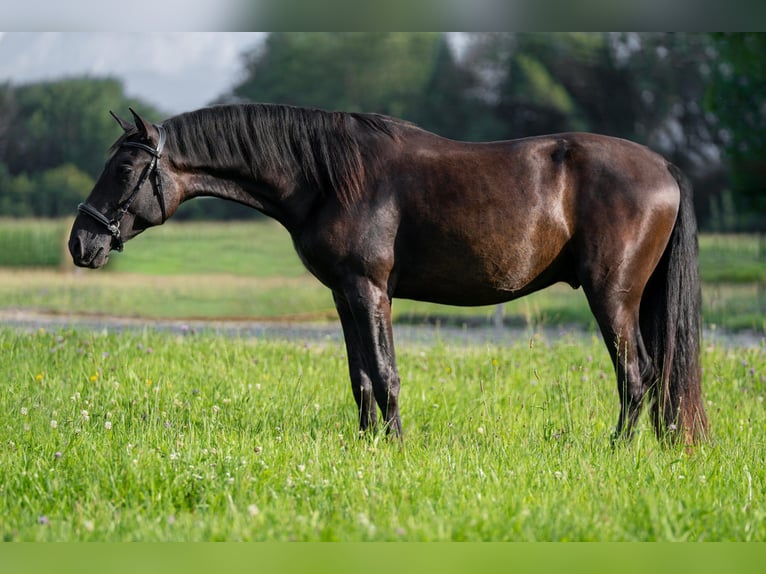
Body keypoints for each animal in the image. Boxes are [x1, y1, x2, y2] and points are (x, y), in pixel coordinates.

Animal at [68, 104, 708, 445]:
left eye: (123, 168)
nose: (81, 242)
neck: (328, 178)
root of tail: (665, 167)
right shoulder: (345, 296)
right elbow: (360, 377)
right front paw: (368, 443)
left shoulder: (369, 290)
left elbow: (385, 373)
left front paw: (394, 445)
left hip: (613, 297)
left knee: (637, 375)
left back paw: (619, 449)